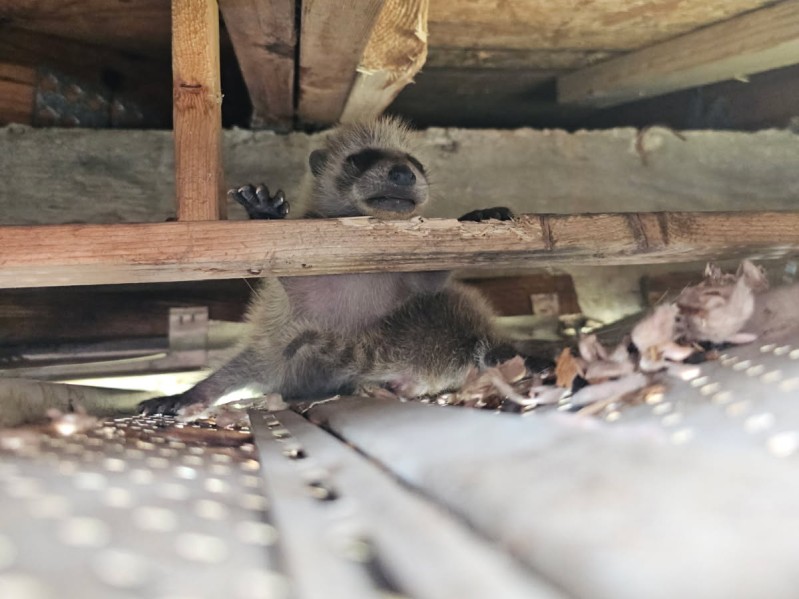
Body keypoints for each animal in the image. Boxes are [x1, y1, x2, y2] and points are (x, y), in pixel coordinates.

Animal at [139, 117, 535, 415]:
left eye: (416, 162)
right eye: (361, 159)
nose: (404, 173)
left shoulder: (408, 271)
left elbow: (433, 276)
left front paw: (476, 215)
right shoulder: (305, 274)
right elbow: (281, 275)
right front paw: (265, 214)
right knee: (251, 359)